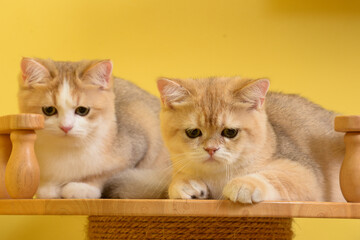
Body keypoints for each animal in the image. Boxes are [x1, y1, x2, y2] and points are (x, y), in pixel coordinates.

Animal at [18, 57, 172, 199]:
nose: (66, 127)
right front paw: (49, 186)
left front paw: (84, 186)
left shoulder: (139, 141)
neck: (68, 149)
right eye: (49, 110)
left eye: (82, 110)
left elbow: (108, 173)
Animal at [158, 76, 346, 202]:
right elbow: (178, 180)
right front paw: (185, 185)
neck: (217, 177)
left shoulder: (306, 175)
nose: (211, 149)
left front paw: (244, 184)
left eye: (230, 132)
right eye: (193, 132)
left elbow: (273, 177)